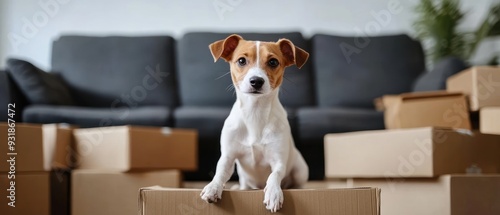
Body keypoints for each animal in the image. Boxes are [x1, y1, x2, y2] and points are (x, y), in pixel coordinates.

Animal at [201, 34, 310, 212]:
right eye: (241, 61)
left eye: (273, 62)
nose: (256, 81)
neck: (255, 112)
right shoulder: (228, 157)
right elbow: (220, 172)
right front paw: (213, 187)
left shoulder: (278, 161)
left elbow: (274, 174)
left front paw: (273, 193)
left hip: (300, 170)